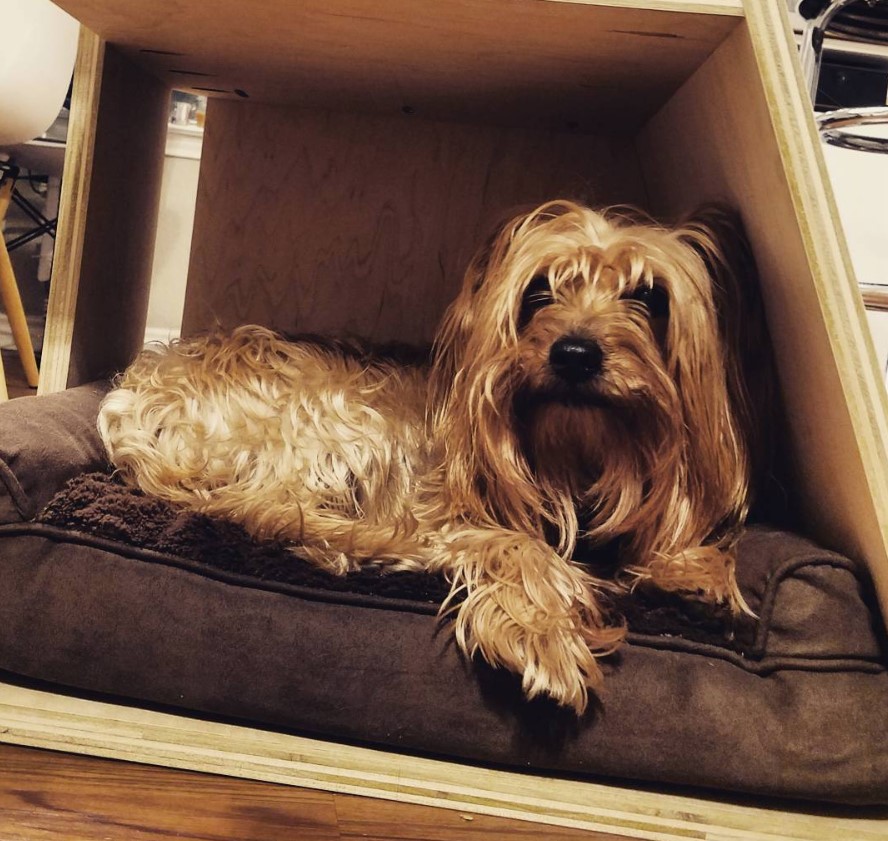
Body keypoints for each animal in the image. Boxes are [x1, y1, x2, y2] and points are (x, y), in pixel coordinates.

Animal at [100, 200, 772, 712]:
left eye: (651, 298)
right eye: (539, 292)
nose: (575, 353)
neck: (581, 456)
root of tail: (136, 388)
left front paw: (696, 574)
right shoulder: (449, 509)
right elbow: (517, 548)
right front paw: (544, 636)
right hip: (337, 419)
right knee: (264, 511)